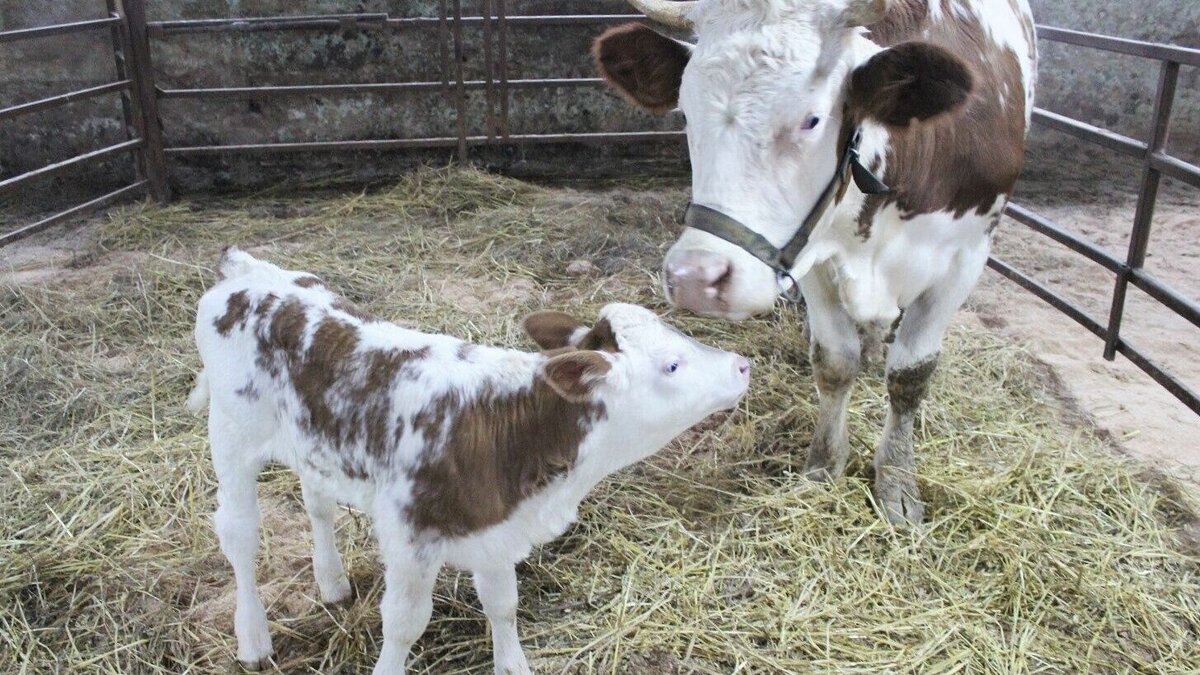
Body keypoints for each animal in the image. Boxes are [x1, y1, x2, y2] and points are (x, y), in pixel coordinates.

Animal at [188, 247, 748, 672]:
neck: (508, 428)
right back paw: (253, 638)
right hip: (232, 434)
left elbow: (503, 602)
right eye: (672, 364)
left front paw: (513, 664)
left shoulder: (495, 527)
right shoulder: (410, 537)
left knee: (317, 503)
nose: (742, 365)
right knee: (240, 535)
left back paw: (332, 583)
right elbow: (404, 624)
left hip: (312, 442)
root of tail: (247, 270)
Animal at [590, 0, 1032, 523]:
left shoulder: (965, 257)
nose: (697, 278)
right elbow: (835, 361)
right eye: (686, 112)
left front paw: (897, 480)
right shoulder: (813, 258)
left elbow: (911, 373)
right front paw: (824, 464)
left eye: (812, 120)